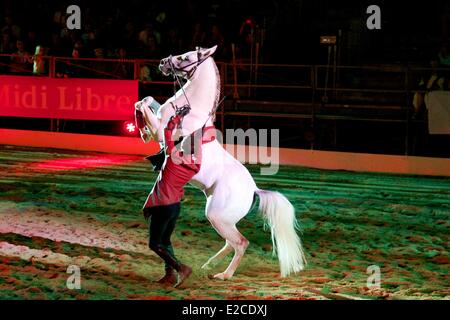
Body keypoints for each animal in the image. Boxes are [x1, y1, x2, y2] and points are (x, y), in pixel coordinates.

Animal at [135, 45, 308, 280]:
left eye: (185, 58)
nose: (162, 63)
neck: (193, 111)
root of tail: (254, 190)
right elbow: (148, 99)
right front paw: (141, 129)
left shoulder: (162, 131)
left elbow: (144, 104)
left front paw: (142, 130)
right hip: (223, 219)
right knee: (230, 243)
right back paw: (208, 265)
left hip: (216, 216)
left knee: (241, 243)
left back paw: (224, 275)